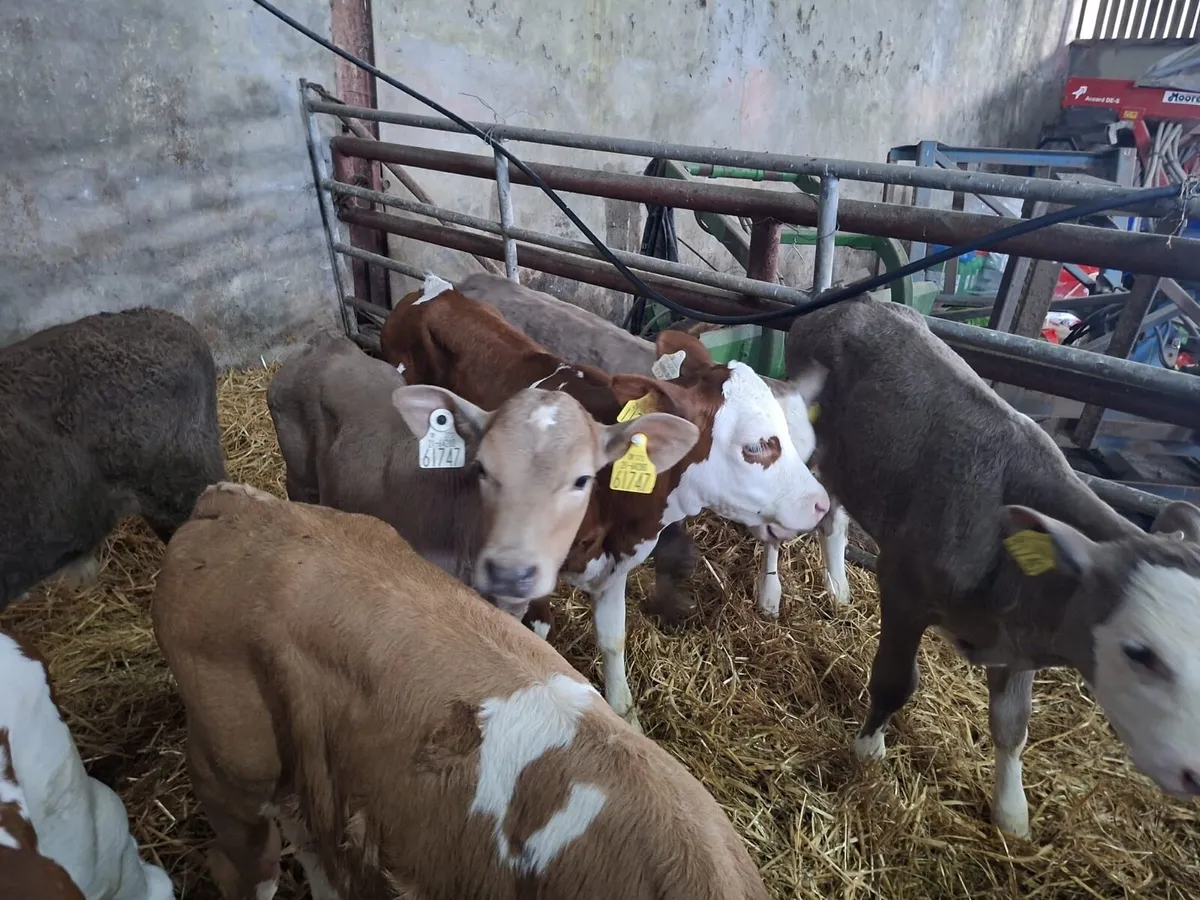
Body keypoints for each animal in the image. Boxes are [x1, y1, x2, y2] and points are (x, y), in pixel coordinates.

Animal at [785, 295, 1200, 838]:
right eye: (1140, 653)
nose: (1195, 774)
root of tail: (856, 301)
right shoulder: (903, 588)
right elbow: (895, 682)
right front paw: (868, 750)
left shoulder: (1022, 641)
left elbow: (1012, 725)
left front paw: (1012, 812)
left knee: (834, 513)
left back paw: (836, 589)